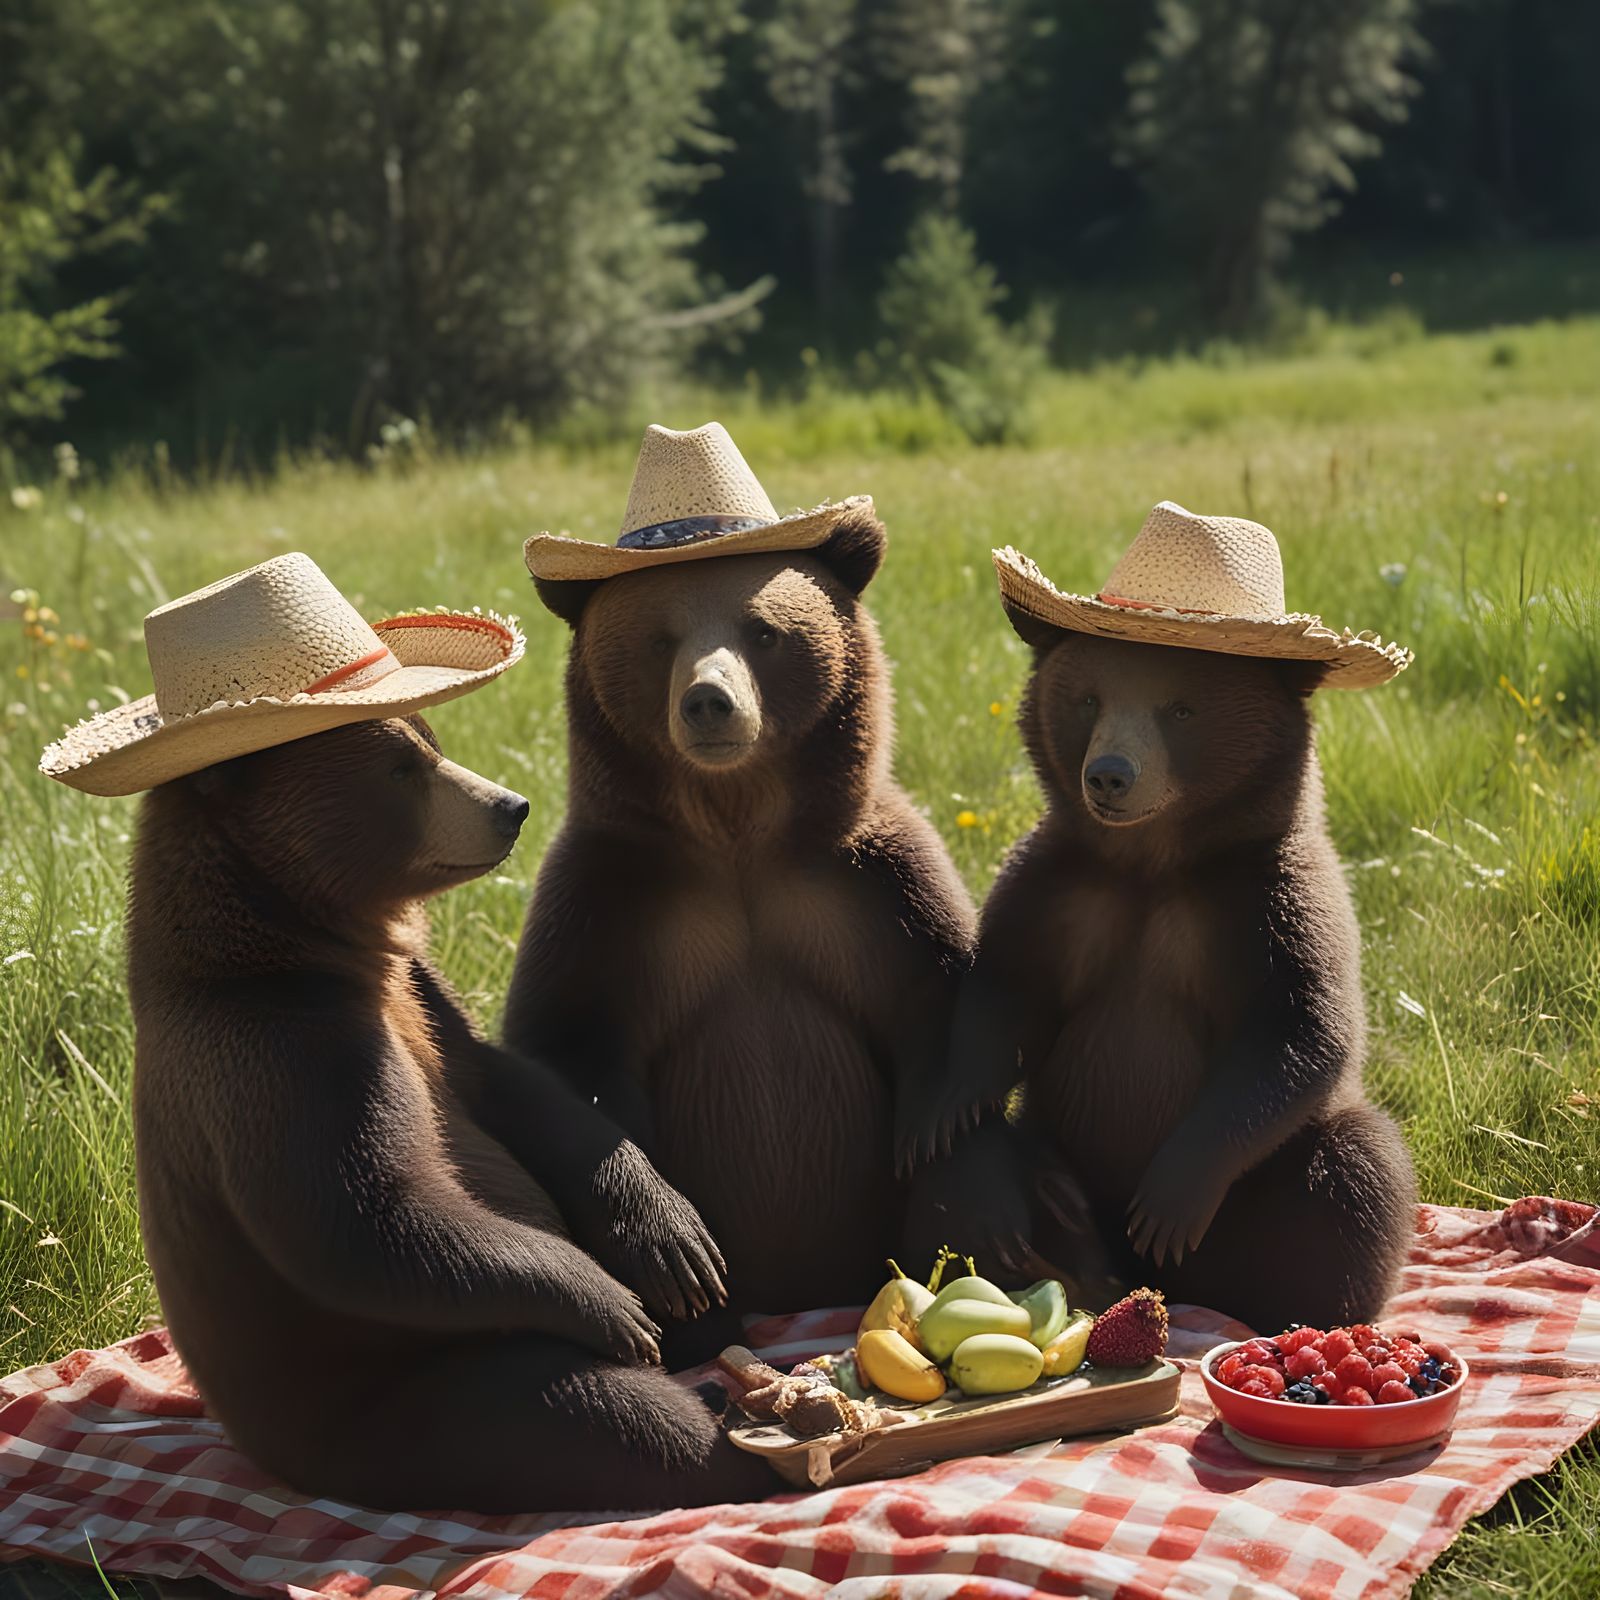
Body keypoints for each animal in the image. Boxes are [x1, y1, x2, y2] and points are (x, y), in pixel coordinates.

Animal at [128, 713, 771, 1512]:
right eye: (403, 767)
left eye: (432, 741)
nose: (512, 806)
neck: (301, 952)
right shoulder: (280, 1055)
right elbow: (369, 1219)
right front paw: (612, 1303)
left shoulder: (422, 998)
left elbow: (512, 1086)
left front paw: (669, 1236)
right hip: (406, 1403)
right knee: (594, 1415)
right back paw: (734, 1431)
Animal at [504, 508, 977, 1340]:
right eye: (659, 636)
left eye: (763, 630)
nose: (709, 703)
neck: (737, 835)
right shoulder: (609, 904)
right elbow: (568, 1056)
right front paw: (678, 1251)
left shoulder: (872, 886)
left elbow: (943, 1002)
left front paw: (937, 1155)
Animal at [909, 624, 1416, 1333]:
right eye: (1089, 699)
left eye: (1180, 709)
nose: (1110, 775)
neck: (1154, 863)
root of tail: (1162, 1283)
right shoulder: (1057, 887)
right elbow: (1006, 990)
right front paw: (955, 1100)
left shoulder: (1269, 903)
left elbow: (1299, 1031)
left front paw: (1170, 1200)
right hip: (1052, 1135)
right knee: (947, 1174)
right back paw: (1046, 1247)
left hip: (1254, 1205)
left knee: (1354, 1172)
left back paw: (1301, 1311)